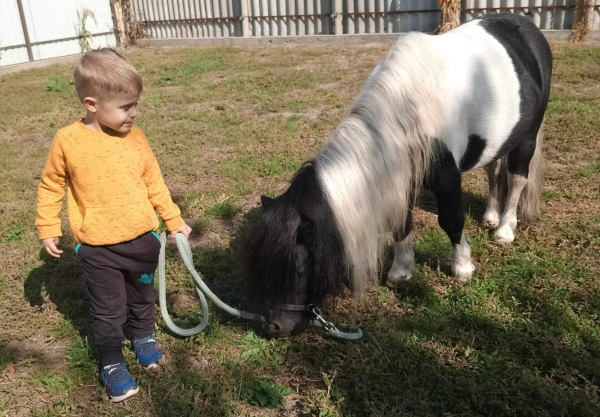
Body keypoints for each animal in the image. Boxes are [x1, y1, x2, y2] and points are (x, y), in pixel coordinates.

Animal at [241, 13, 552, 334]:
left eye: (301, 267)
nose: (273, 326)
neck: (407, 108)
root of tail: (525, 26)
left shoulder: (446, 175)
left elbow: (451, 220)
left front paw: (462, 267)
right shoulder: (402, 177)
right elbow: (401, 223)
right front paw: (401, 271)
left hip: (527, 135)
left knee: (516, 178)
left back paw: (505, 228)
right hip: (496, 141)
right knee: (493, 171)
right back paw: (491, 216)